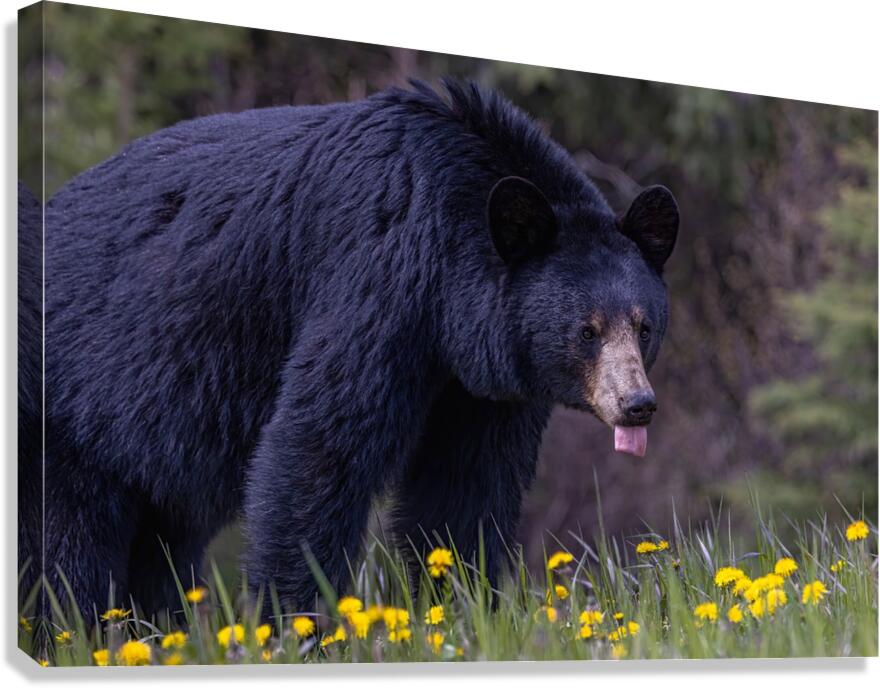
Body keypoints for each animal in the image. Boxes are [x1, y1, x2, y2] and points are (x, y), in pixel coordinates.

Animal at [38, 80, 678, 619]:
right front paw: (294, 624)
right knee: (65, 546)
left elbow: (466, 484)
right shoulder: (374, 277)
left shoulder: (483, 382)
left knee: (162, 539)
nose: (637, 404)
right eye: (587, 330)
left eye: (643, 326)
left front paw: (461, 606)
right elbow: (320, 445)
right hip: (75, 402)